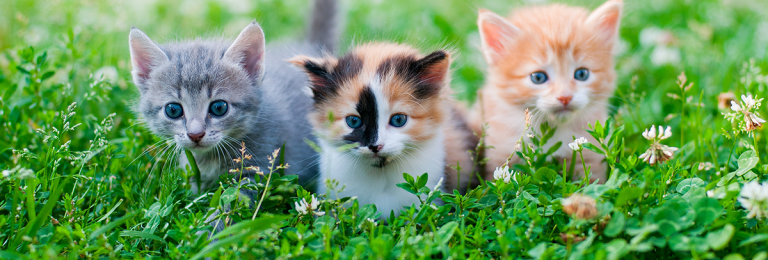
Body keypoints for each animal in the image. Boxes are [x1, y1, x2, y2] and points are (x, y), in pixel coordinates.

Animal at [474, 0, 624, 183]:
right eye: (538, 77)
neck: (552, 128)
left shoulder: (590, 156)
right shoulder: (502, 153)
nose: (565, 97)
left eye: (582, 74)